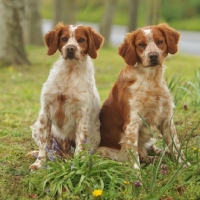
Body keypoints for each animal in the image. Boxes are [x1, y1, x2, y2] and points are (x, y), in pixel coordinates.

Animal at [28, 22, 104, 170]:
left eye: (81, 40)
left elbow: (80, 146)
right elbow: (43, 144)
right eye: (64, 38)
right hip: (37, 127)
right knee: (51, 150)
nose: (70, 48)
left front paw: (77, 165)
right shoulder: (45, 111)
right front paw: (39, 163)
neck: (70, 71)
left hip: (95, 136)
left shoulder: (82, 116)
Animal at [97, 23, 188, 170]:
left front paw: (185, 165)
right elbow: (134, 159)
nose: (153, 55)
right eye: (141, 44)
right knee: (140, 155)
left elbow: (176, 146)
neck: (151, 80)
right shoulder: (132, 123)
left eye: (159, 41)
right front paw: (137, 176)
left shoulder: (166, 119)